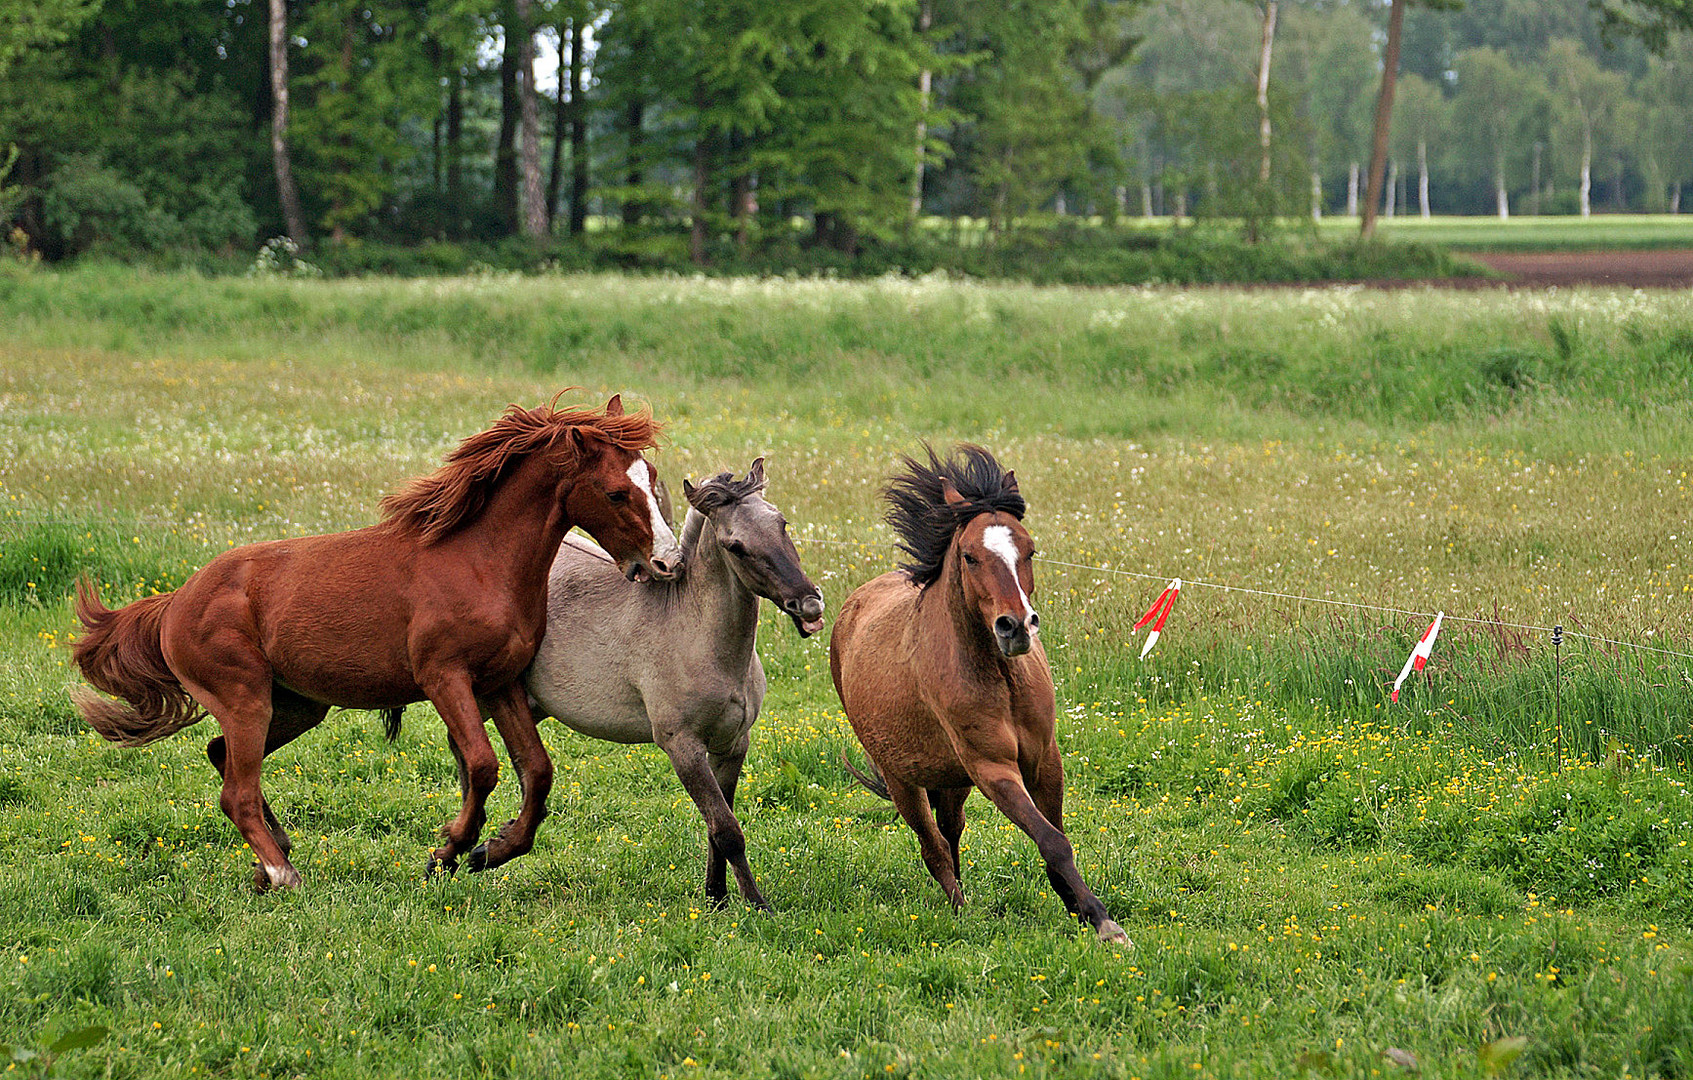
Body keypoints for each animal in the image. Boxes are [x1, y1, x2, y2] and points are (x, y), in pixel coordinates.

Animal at [71, 392, 680, 893]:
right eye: (616, 492)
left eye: (653, 477)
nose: (667, 562)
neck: (478, 561)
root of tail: (175, 602)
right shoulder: (444, 678)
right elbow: (483, 765)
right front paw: (448, 851)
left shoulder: (501, 681)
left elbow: (537, 769)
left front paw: (494, 849)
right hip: (246, 701)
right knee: (235, 793)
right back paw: (284, 873)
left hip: (296, 706)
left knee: (220, 755)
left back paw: (274, 859)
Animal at [521, 460, 826, 914]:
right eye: (735, 546)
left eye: (782, 523)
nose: (808, 604)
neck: (693, 632)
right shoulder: (682, 748)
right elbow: (727, 829)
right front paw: (757, 905)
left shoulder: (731, 745)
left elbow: (718, 827)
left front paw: (716, 898)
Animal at [829, 443, 1124, 941]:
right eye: (969, 556)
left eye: (1029, 549)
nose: (1016, 626)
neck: (1001, 678)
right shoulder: (993, 770)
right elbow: (1051, 839)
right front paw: (1102, 921)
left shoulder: (1045, 760)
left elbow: (1057, 836)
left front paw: (1077, 906)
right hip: (904, 780)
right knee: (933, 848)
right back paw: (961, 911)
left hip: (951, 781)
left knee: (950, 832)